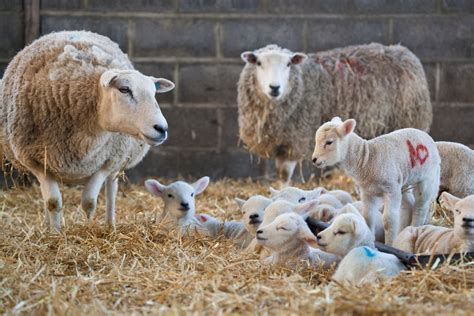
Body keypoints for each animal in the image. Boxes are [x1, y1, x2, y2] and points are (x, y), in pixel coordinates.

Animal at [0, 30, 174, 231]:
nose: (162, 128)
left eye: (154, 93)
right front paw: (55, 233)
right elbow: (52, 202)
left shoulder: (107, 162)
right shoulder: (35, 161)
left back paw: (110, 225)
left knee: (111, 191)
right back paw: (47, 226)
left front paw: (89, 227)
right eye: (124, 89)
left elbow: (89, 202)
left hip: (118, 158)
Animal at [239, 43, 432, 181]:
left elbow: (285, 174)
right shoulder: (282, 142)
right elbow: (280, 174)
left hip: (409, 118)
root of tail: (403, 51)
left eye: (288, 64)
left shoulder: (296, 139)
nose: (275, 88)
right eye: (258, 63)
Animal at [312, 118, 442, 244]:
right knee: (409, 205)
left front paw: (389, 243)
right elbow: (367, 218)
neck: (367, 159)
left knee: (420, 206)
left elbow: (389, 221)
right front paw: (368, 238)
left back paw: (414, 227)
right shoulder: (367, 192)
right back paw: (403, 231)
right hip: (404, 181)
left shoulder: (391, 189)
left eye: (329, 142)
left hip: (427, 177)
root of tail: (428, 136)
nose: (314, 159)